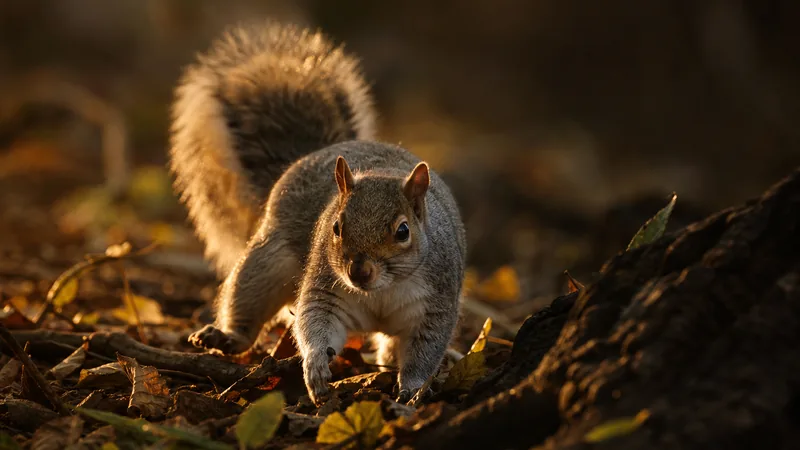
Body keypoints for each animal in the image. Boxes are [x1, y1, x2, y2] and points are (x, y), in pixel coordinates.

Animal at [169, 21, 467, 404]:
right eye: (336, 227)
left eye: (403, 231)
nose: (359, 272)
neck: (381, 291)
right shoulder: (328, 290)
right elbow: (315, 321)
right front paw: (315, 366)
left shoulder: (435, 306)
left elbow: (425, 350)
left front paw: (412, 389)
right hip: (267, 260)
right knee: (246, 299)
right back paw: (228, 335)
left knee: (391, 347)